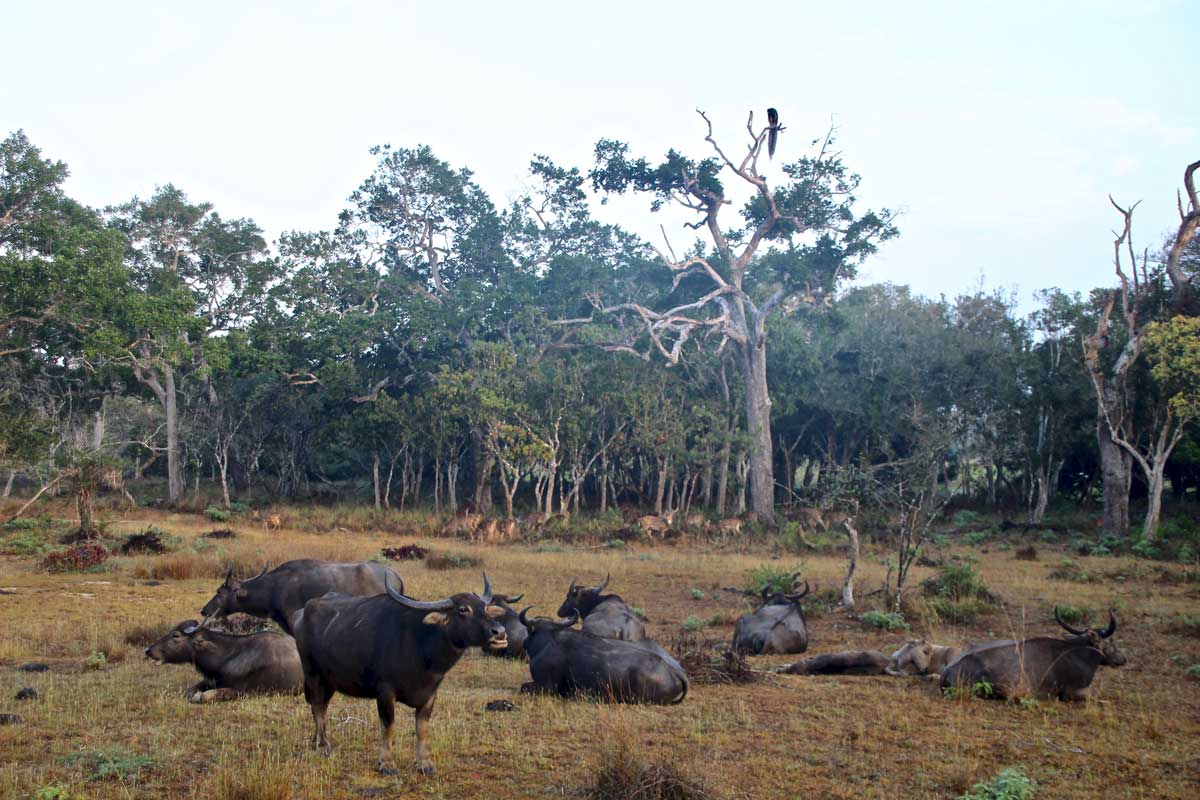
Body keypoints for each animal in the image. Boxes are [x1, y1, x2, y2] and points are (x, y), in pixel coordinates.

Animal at [143, 623, 302, 705]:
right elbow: (190, 690)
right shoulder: (211, 681)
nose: (148, 650)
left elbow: (204, 696)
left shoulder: (243, 692)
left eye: (175, 635)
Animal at [297, 575, 508, 777]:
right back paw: (322, 745)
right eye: (463, 609)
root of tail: (305, 610)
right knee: (317, 707)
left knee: (323, 707)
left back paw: (318, 741)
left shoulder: (430, 695)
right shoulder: (385, 692)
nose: (500, 632)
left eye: (485, 607)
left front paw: (424, 763)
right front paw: (387, 764)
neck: (421, 646)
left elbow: (422, 730)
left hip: (329, 680)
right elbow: (388, 727)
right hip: (312, 674)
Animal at [520, 609, 691, 705]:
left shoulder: (545, 686)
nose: (524, 642)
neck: (549, 640)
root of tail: (673, 671)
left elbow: (523, 687)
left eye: (529, 631)